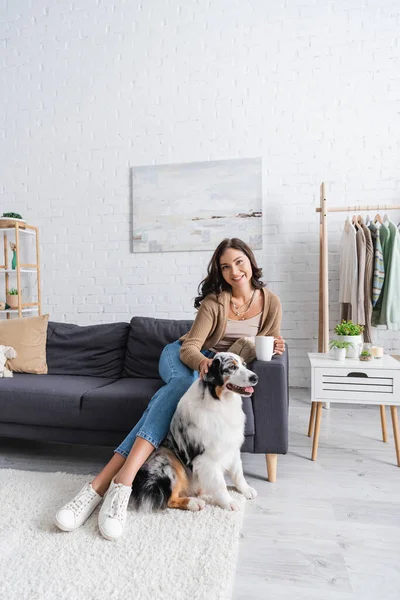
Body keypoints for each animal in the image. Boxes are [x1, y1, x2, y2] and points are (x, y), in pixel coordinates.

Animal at [130, 354, 258, 512]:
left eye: (244, 364)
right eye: (232, 367)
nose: (255, 377)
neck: (220, 403)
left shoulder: (232, 447)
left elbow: (238, 473)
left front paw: (246, 490)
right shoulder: (207, 457)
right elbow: (220, 484)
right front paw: (229, 502)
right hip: (169, 459)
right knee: (170, 500)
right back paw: (194, 503)